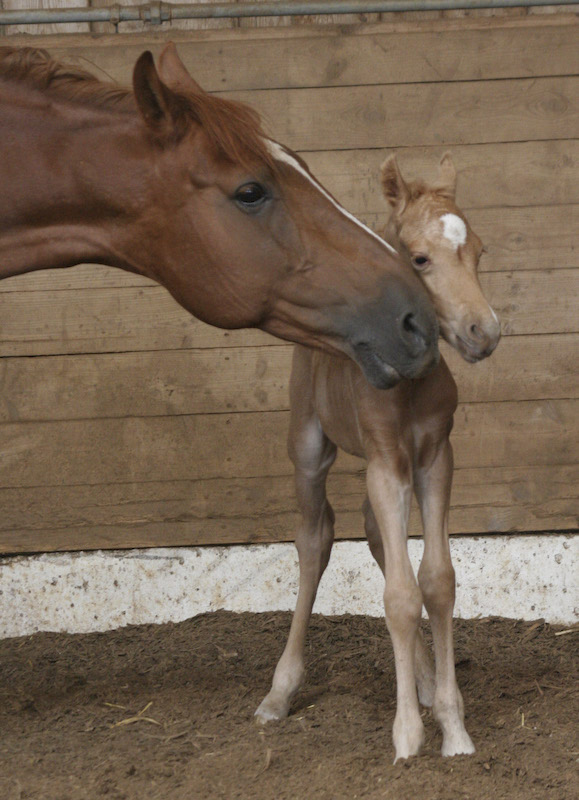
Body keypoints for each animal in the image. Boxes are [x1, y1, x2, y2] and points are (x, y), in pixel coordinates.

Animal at [256, 155, 500, 764]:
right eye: (420, 257)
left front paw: (453, 726)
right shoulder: (385, 463)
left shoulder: (434, 459)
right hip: (309, 446)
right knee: (315, 541)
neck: (410, 385)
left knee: (376, 540)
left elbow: (434, 581)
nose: (484, 333)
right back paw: (279, 692)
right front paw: (408, 734)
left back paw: (423, 681)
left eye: (479, 251)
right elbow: (399, 596)